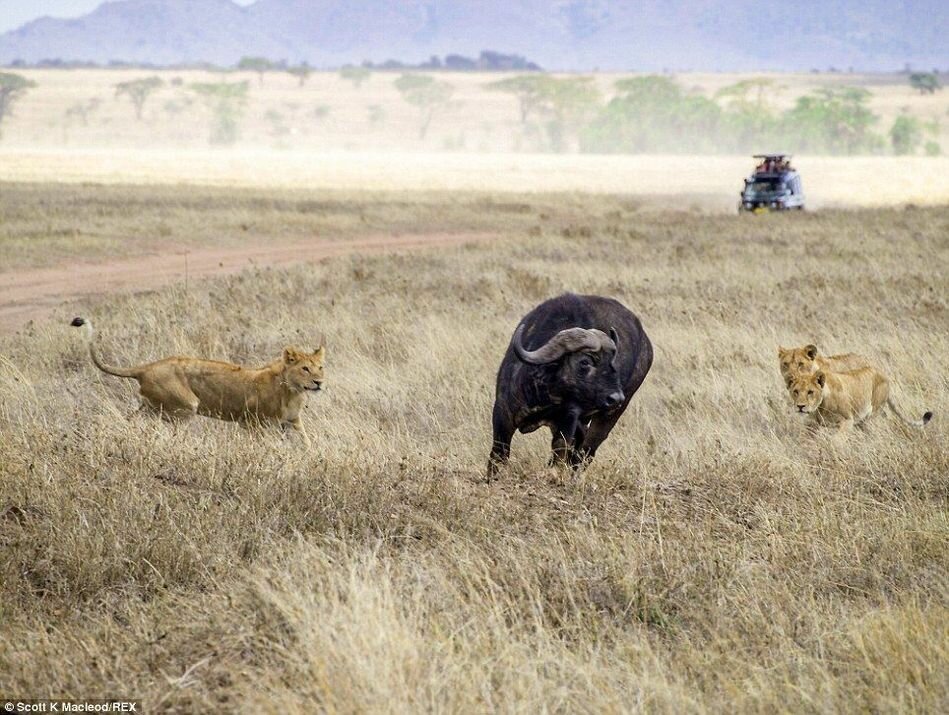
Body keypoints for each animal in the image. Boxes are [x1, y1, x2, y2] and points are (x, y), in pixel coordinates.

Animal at [68, 318, 324, 444]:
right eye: (305, 368)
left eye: (320, 367)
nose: (320, 382)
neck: (294, 392)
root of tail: (147, 367)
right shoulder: (254, 423)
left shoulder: (293, 422)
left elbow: (307, 443)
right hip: (184, 406)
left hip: (150, 407)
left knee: (131, 420)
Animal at [488, 294, 652, 478]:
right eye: (585, 361)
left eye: (612, 360)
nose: (616, 398)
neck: (547, 393)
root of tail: (647, 346)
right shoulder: (502, 413)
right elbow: (499, 454)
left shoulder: (568, 420)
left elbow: (560, 452)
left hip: (609, 416)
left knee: (587, 450)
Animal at [784, 366, 932, 434]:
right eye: (795, 391)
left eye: (810, 392)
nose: (800, 406)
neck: (821, 406)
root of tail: (884, 374)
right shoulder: (813, 425)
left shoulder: (847, 420)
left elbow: (837, 440)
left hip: (871, 414)